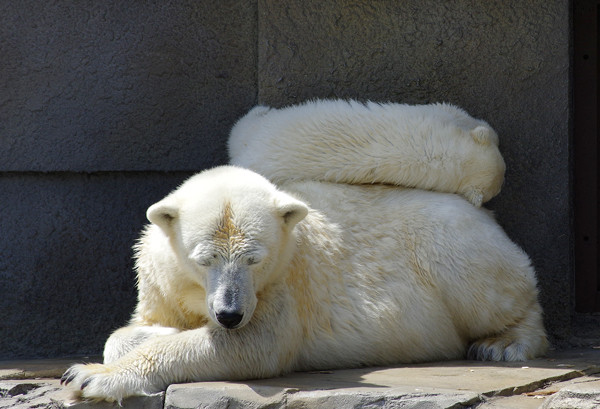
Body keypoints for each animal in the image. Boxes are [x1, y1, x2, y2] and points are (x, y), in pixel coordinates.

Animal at [62, 166, 548, 402]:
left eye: (254, 259)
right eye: (205, 259)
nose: (229, 314)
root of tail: (485, 214)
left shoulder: (286, 281)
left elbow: (253, 344)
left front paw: (88, 377)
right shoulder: (159, 277)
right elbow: (131, 329)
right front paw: (158, 332)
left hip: (451, 241)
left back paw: (503, 344)